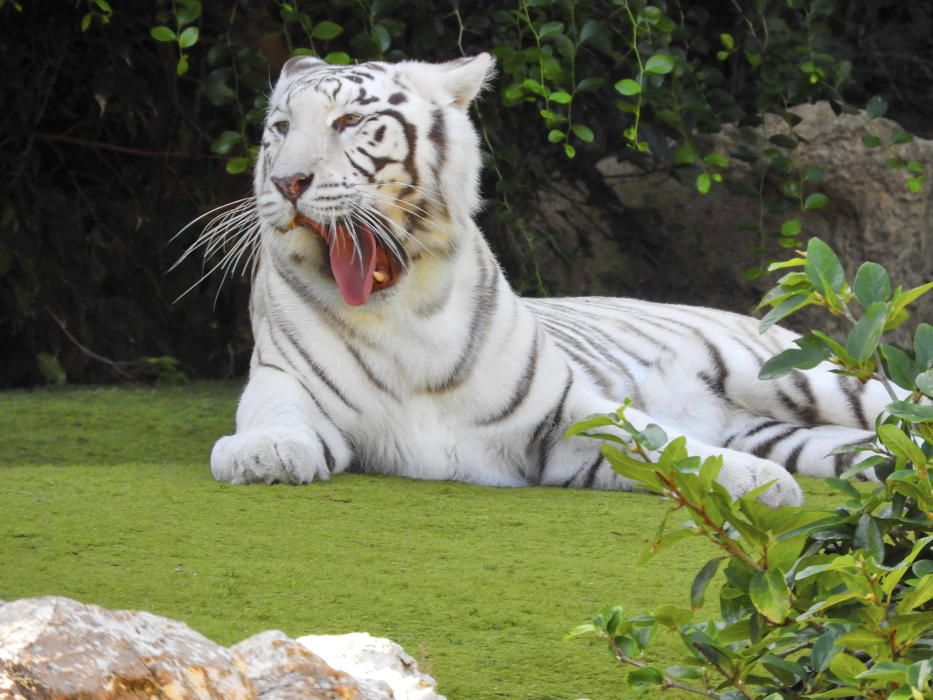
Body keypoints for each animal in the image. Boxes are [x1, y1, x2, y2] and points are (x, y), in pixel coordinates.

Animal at [202, 52, 888, 506]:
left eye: (347, 122)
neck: (401, 314)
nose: (288, 182)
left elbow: (661, 441)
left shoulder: (564, 410)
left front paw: (757, 483)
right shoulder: (285, 379)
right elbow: (275, 412)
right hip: (799, 432)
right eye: (281, 129)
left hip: (814, 377)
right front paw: (262, 454)